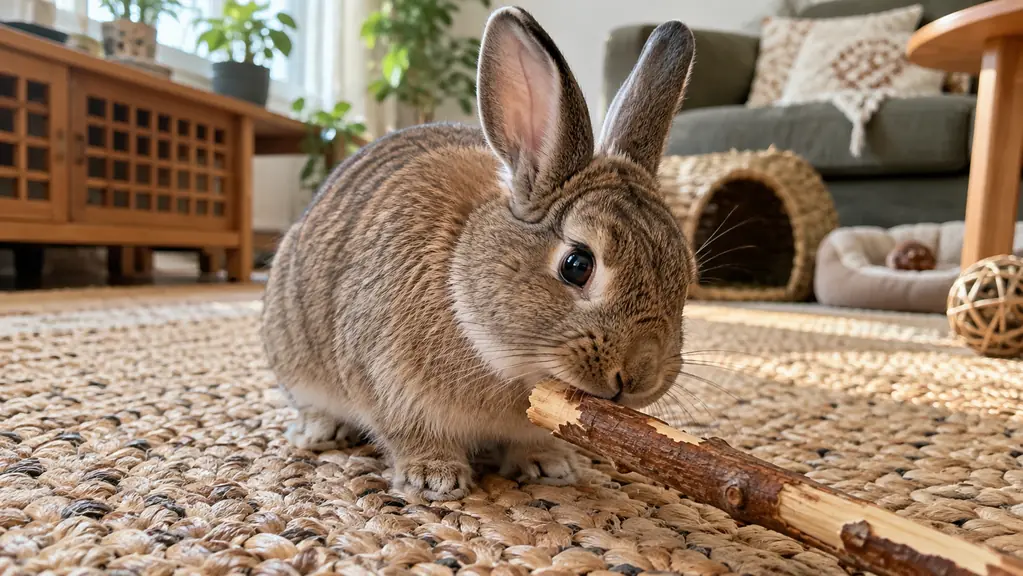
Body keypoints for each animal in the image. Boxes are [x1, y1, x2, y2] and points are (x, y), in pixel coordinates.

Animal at [261, 6, 698, 501]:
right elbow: (409, 435)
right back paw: (319, 432)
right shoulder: (388, 386)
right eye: (577, 265)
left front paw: (548, 466)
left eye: (687, 277)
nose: (638, 378)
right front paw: (434, 477)